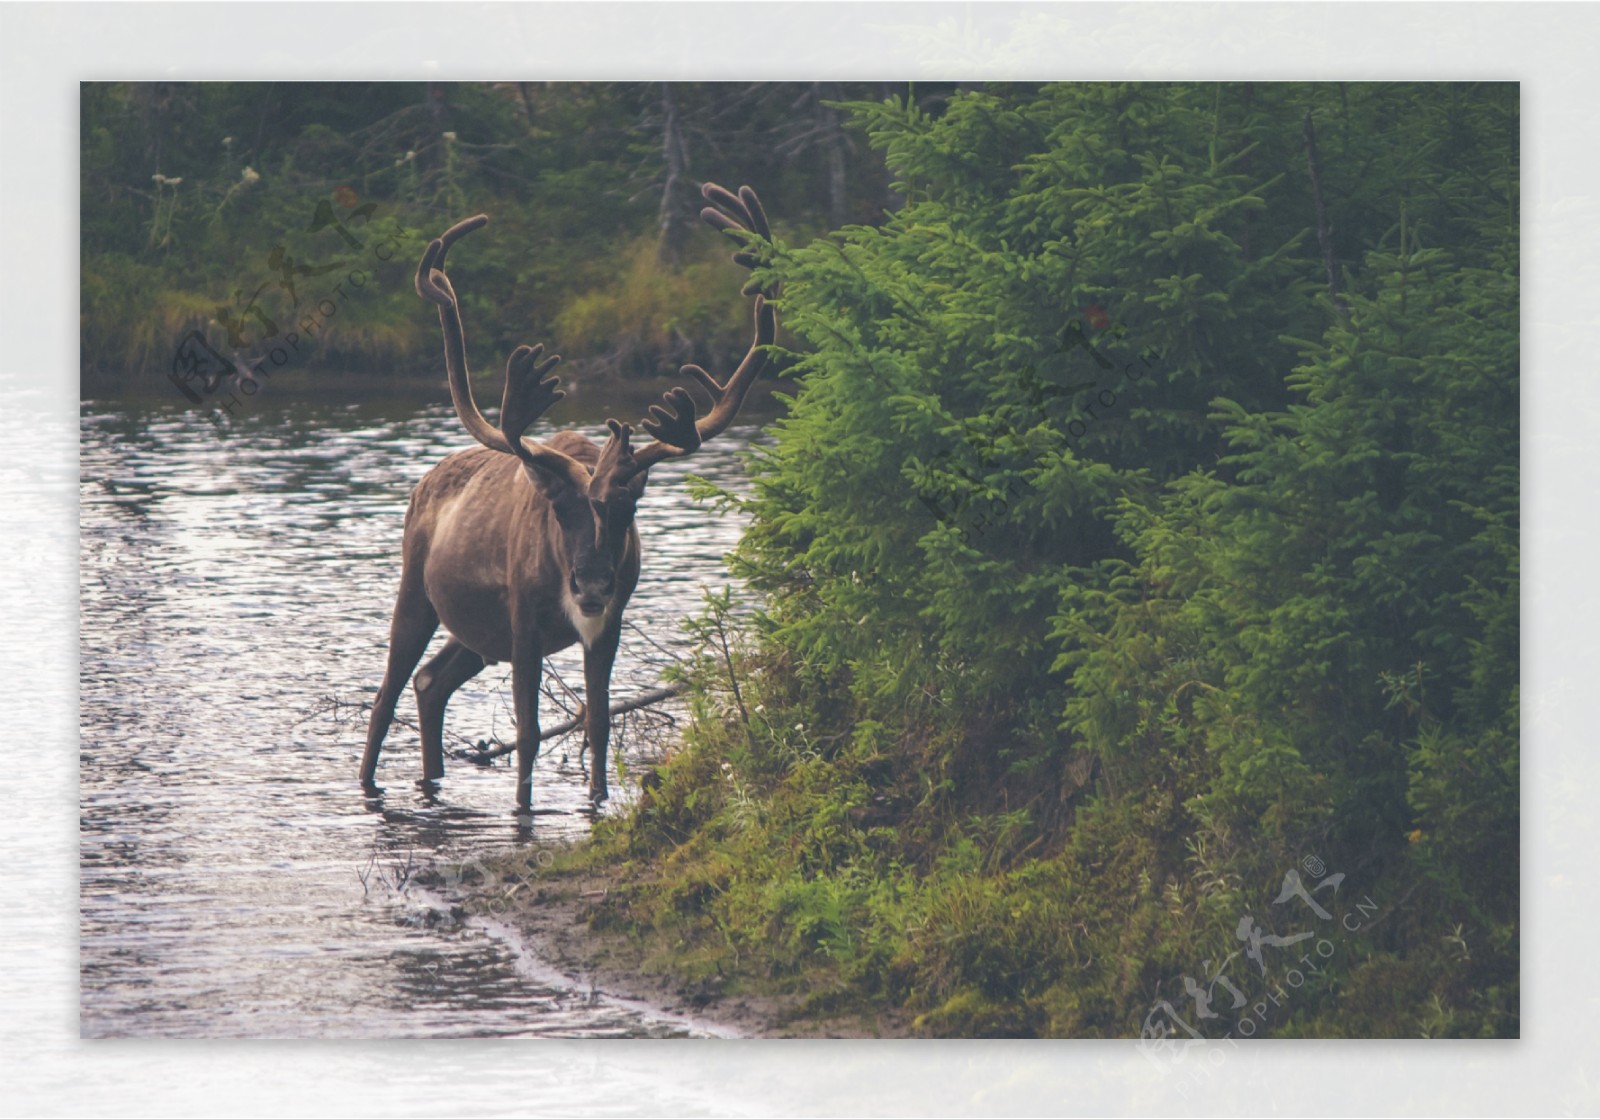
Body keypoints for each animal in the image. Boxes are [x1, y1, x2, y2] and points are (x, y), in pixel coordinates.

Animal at [358, 185, 780, 813]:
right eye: (559, 510)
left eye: (627, 510)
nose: (591, 584)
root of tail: (425, 481)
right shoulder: (524, 622)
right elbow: (530, 731)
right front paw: (523, 807)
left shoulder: (610, 622)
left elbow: (599, 720)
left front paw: (598, 801)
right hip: (417, 590)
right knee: (386, 692)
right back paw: (369, 780)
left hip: (477, 634)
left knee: (430, 681)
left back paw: (433, 779)